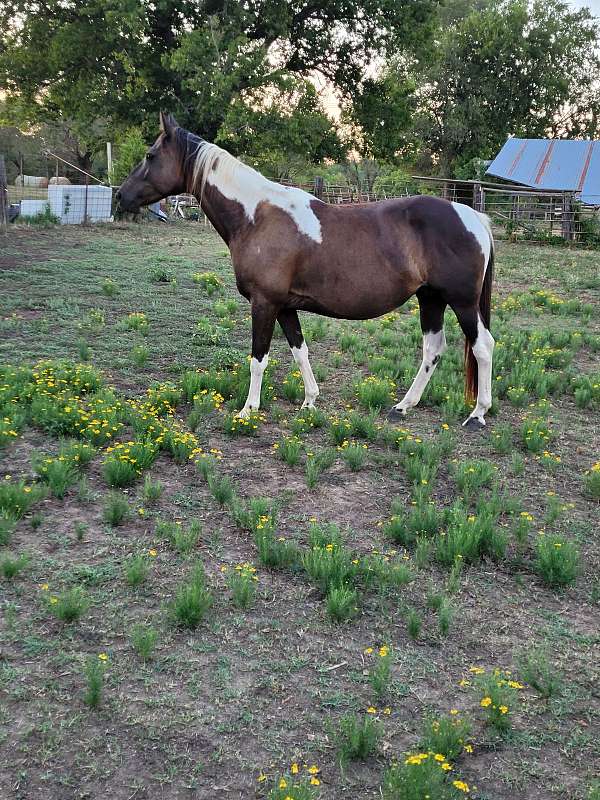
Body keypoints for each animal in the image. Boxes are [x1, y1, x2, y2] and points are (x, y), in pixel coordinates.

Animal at [117, 113, 496, 428]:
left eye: (150, 156)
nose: (120, 195)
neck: (256, 216)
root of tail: (473, 216)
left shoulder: (264, 303)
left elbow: (258, 358)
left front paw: (248, 410)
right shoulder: (285, 306)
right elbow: (300, 351)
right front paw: (310, 402)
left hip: (462, 303)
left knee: (482, 346)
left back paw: (478, 414)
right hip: (430, 298)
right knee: (433, 349)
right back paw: (403, 406)